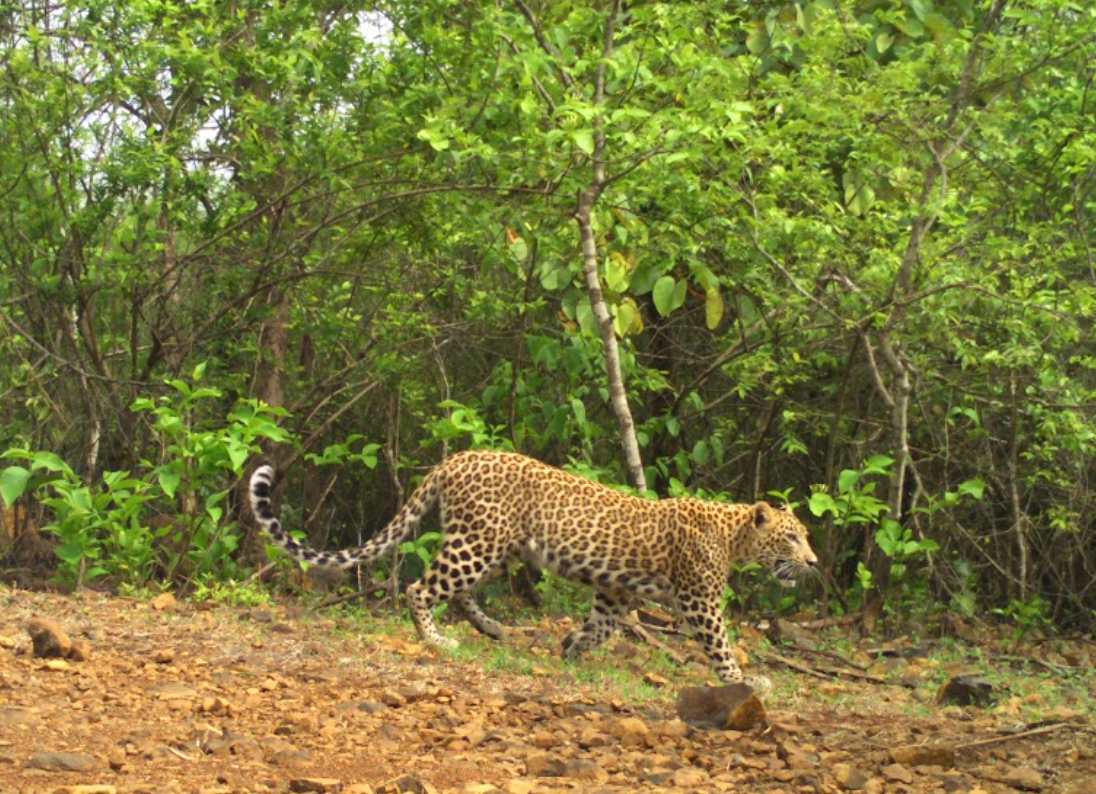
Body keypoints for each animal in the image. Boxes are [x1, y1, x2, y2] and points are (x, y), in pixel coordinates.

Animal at [249, 449, 818, 688]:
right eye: (792, 536)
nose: (813, 562)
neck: (735, 535)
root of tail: (455, 457)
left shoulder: (616, 593)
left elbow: (601, 626)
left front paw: (570, 649)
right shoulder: (699, 600)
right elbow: (719, 642)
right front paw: (745, 680)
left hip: (493, 546)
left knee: (459, 592)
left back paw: (494, 629)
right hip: (479, 542)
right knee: (420, 587)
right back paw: (437, 639)